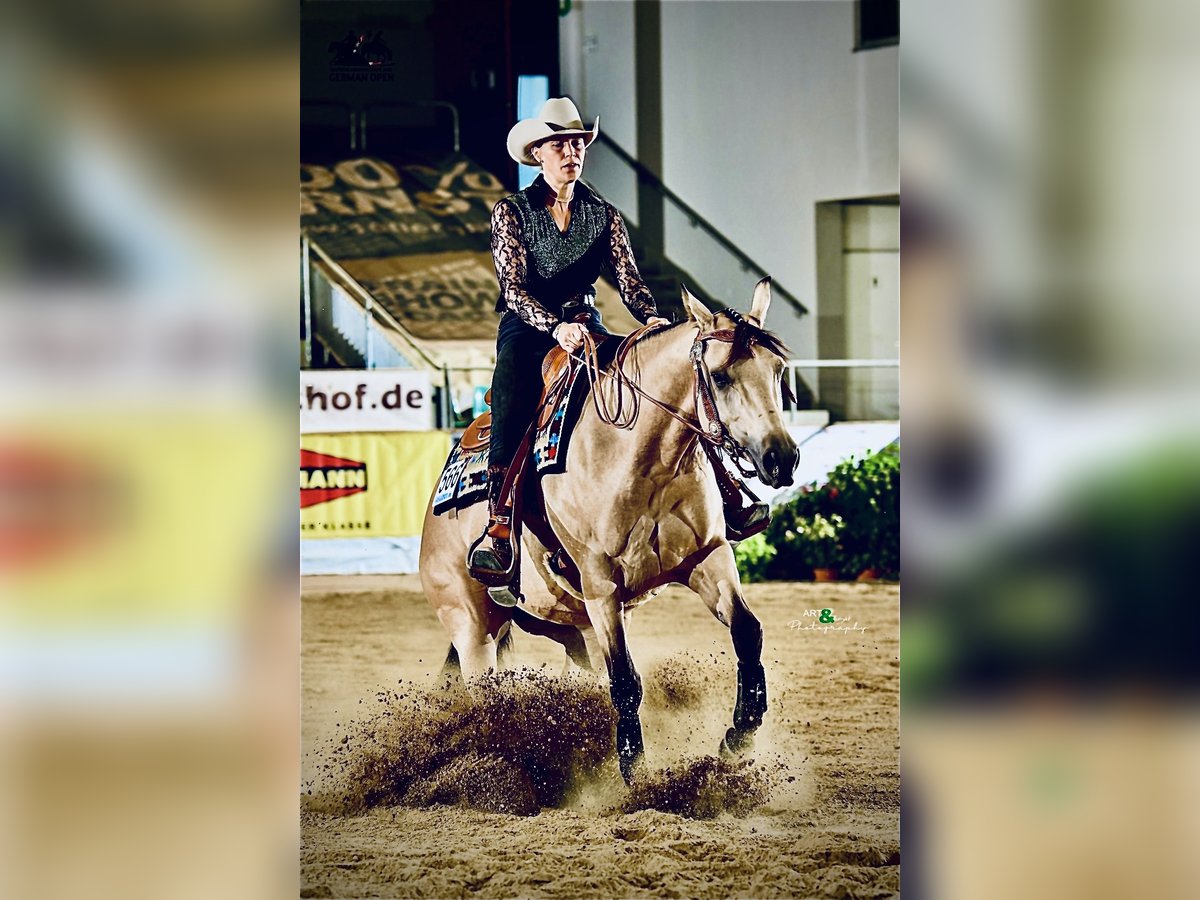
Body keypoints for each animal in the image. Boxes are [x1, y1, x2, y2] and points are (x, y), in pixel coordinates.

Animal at [422, 280, 796, 782]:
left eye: (778, 370)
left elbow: (748, 633)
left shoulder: (708, 558)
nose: (782, 457)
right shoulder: (601, 586)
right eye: (720, 377)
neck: (643, 459)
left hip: (558, 621)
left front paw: (739, 734)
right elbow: (624, 681)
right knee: (488, 696)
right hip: (472, 628)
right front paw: (634, 773)